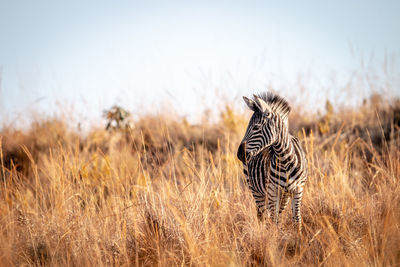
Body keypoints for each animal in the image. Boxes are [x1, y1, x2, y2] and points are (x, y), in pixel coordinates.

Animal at [238, 92, 310, 230]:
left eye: (256, 127)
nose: (240, 154)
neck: (285, 159)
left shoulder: (298, 189)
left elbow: (296, 220)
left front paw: (298, 235)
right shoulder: (272, 189)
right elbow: (274, 221)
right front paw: (275, 236)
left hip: (284, 195)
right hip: (256, 189)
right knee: (263, 216)